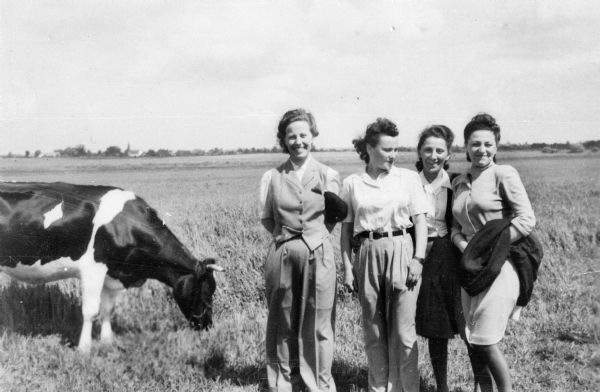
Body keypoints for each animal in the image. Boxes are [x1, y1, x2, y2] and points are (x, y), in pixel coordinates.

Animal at [0, 183, 223, 352]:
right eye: (206, 291)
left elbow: (107, 309)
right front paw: (84, 349)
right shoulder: (94, 269)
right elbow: (90, 311)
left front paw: (107, 342)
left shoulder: (113, 273)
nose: (208, 326)